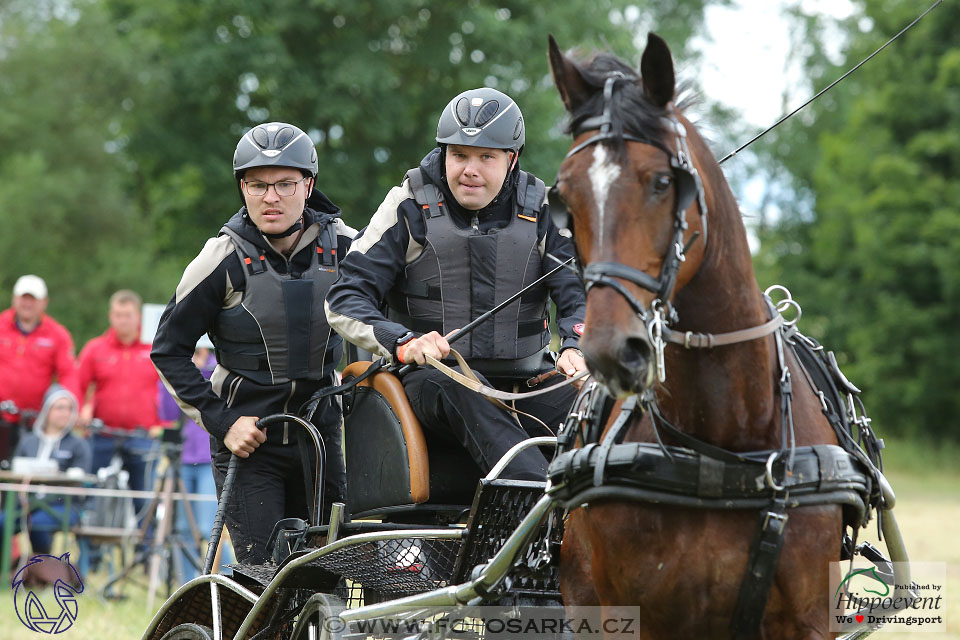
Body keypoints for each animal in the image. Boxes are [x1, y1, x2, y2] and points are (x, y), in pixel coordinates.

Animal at [544, 36, 880, 640]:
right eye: (566, 196)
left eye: (662, 182)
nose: (609, 350)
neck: (724, 448)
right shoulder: (636, 615)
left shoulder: (810, 618)